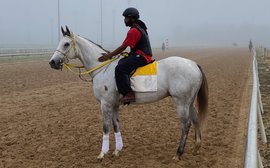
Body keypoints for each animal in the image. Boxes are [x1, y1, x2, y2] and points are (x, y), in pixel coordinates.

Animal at [49, 26, 209, 161]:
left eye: (66, 44)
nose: (52, 62)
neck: (102, 68)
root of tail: (193, 64)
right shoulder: (114, 105)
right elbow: (116, 125)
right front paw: (117, 151)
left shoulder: (105, 104)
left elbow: (106, 127)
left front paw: (102, 154)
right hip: (189, 102)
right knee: (195, 119)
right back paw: (196, 148)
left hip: (181, 102)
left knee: (186, 124)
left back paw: (178, 153)